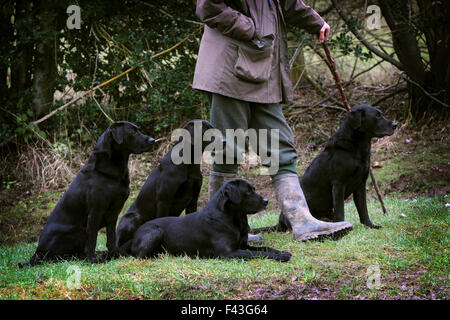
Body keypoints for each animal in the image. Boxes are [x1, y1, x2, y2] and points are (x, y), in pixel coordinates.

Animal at [19, 121, 155, 266]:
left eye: (139, 130)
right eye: (133, 132)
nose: (153, 140)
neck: (114, 168)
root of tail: (37, 252)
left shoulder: (114, 212)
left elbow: (111, 238)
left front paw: (114, 254)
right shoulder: (95, 211)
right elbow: (92, 239)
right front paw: (92, 259)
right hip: (79, 231)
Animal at [115, 119, 219, 254]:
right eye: (207, 130)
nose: (225, 141)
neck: (189, 164)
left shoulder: (193, 200)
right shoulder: (164, 200)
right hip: (132, 218)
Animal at [128, 179, 294, 262]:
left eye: (253, 189)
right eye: (248, 192)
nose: (266, 201)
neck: (233, 219)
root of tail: (134, 234)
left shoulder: (244, 245)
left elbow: (265, 249)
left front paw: (281, 252)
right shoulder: (227, 253)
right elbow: (257, 254)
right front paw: (281, 257)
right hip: (154, 232)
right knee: (138, 256)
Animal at [253, 105, 398, 232]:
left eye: (381, 114)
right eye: (377, 116)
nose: (395, 125)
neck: (356, 149)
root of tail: (279, 223)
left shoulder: (360, 184)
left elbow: (363, 210)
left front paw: (370, 226)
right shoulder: (338, 184)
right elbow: (340, 210)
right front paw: (344, 226)